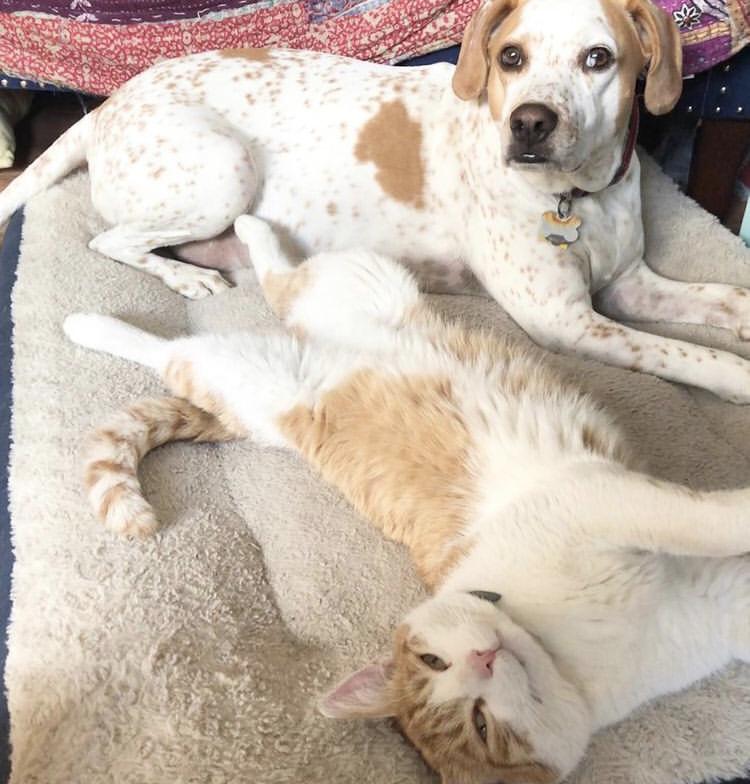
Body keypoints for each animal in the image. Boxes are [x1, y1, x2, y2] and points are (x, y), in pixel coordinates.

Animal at [3, 0, 750, 403]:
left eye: (600, 58)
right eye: (510, 57)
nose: (530, 124)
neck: (579, 196)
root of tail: (106, 108)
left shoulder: (631, 285)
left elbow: (722, 299)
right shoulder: (565, 320)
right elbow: (685, 354)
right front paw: (737, 377)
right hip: (226, 167)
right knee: (111, 240)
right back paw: (187, 278)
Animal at [64, 215, 750, 784]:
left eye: (432, 660)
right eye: (478, 722)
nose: (485, 658)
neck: (563, 648)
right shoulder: (590, 500)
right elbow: (704, 519)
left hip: (364, 285)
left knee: (286, 282)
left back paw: (249, 227)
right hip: (253, 369)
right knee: (174, 349)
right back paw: (90, 323)